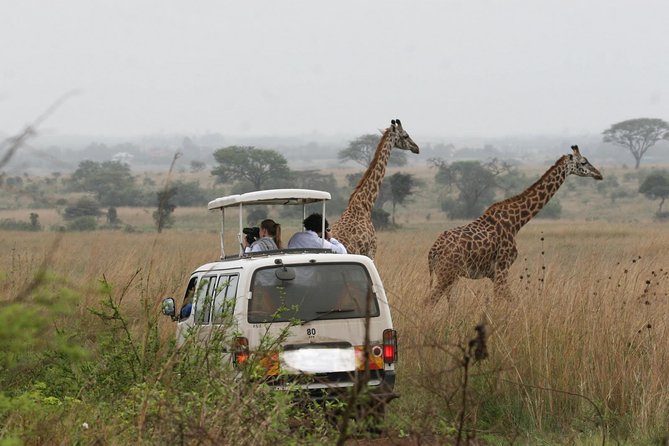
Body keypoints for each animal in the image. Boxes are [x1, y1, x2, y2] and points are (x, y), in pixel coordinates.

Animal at [427, 145, 603, 303]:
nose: (599, 174)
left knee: (450, 303)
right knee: (428, 302)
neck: (516, 222)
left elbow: (511, 300)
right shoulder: (502, 267)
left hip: (451, 276)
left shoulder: (494, 273)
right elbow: (503, 301)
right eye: (584, 162)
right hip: (447, 274)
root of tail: (432, 251)